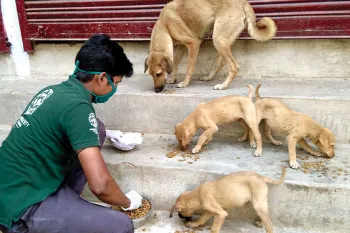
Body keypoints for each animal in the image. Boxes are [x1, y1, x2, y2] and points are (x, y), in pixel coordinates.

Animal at [142, 0, 276, 92]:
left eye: (158, 73)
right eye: (151, 75)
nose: (156, 91)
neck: (165, 26)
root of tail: (244, 2)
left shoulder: (194, 44)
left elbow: (189, 67)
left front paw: (185, 83)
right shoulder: (181, 47)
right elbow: (175, 62)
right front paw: (172, 78)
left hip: (218, 40)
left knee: (234, 67)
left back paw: (223, 86)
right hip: (222, 41)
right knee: (221, 62)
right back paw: (208, 77)